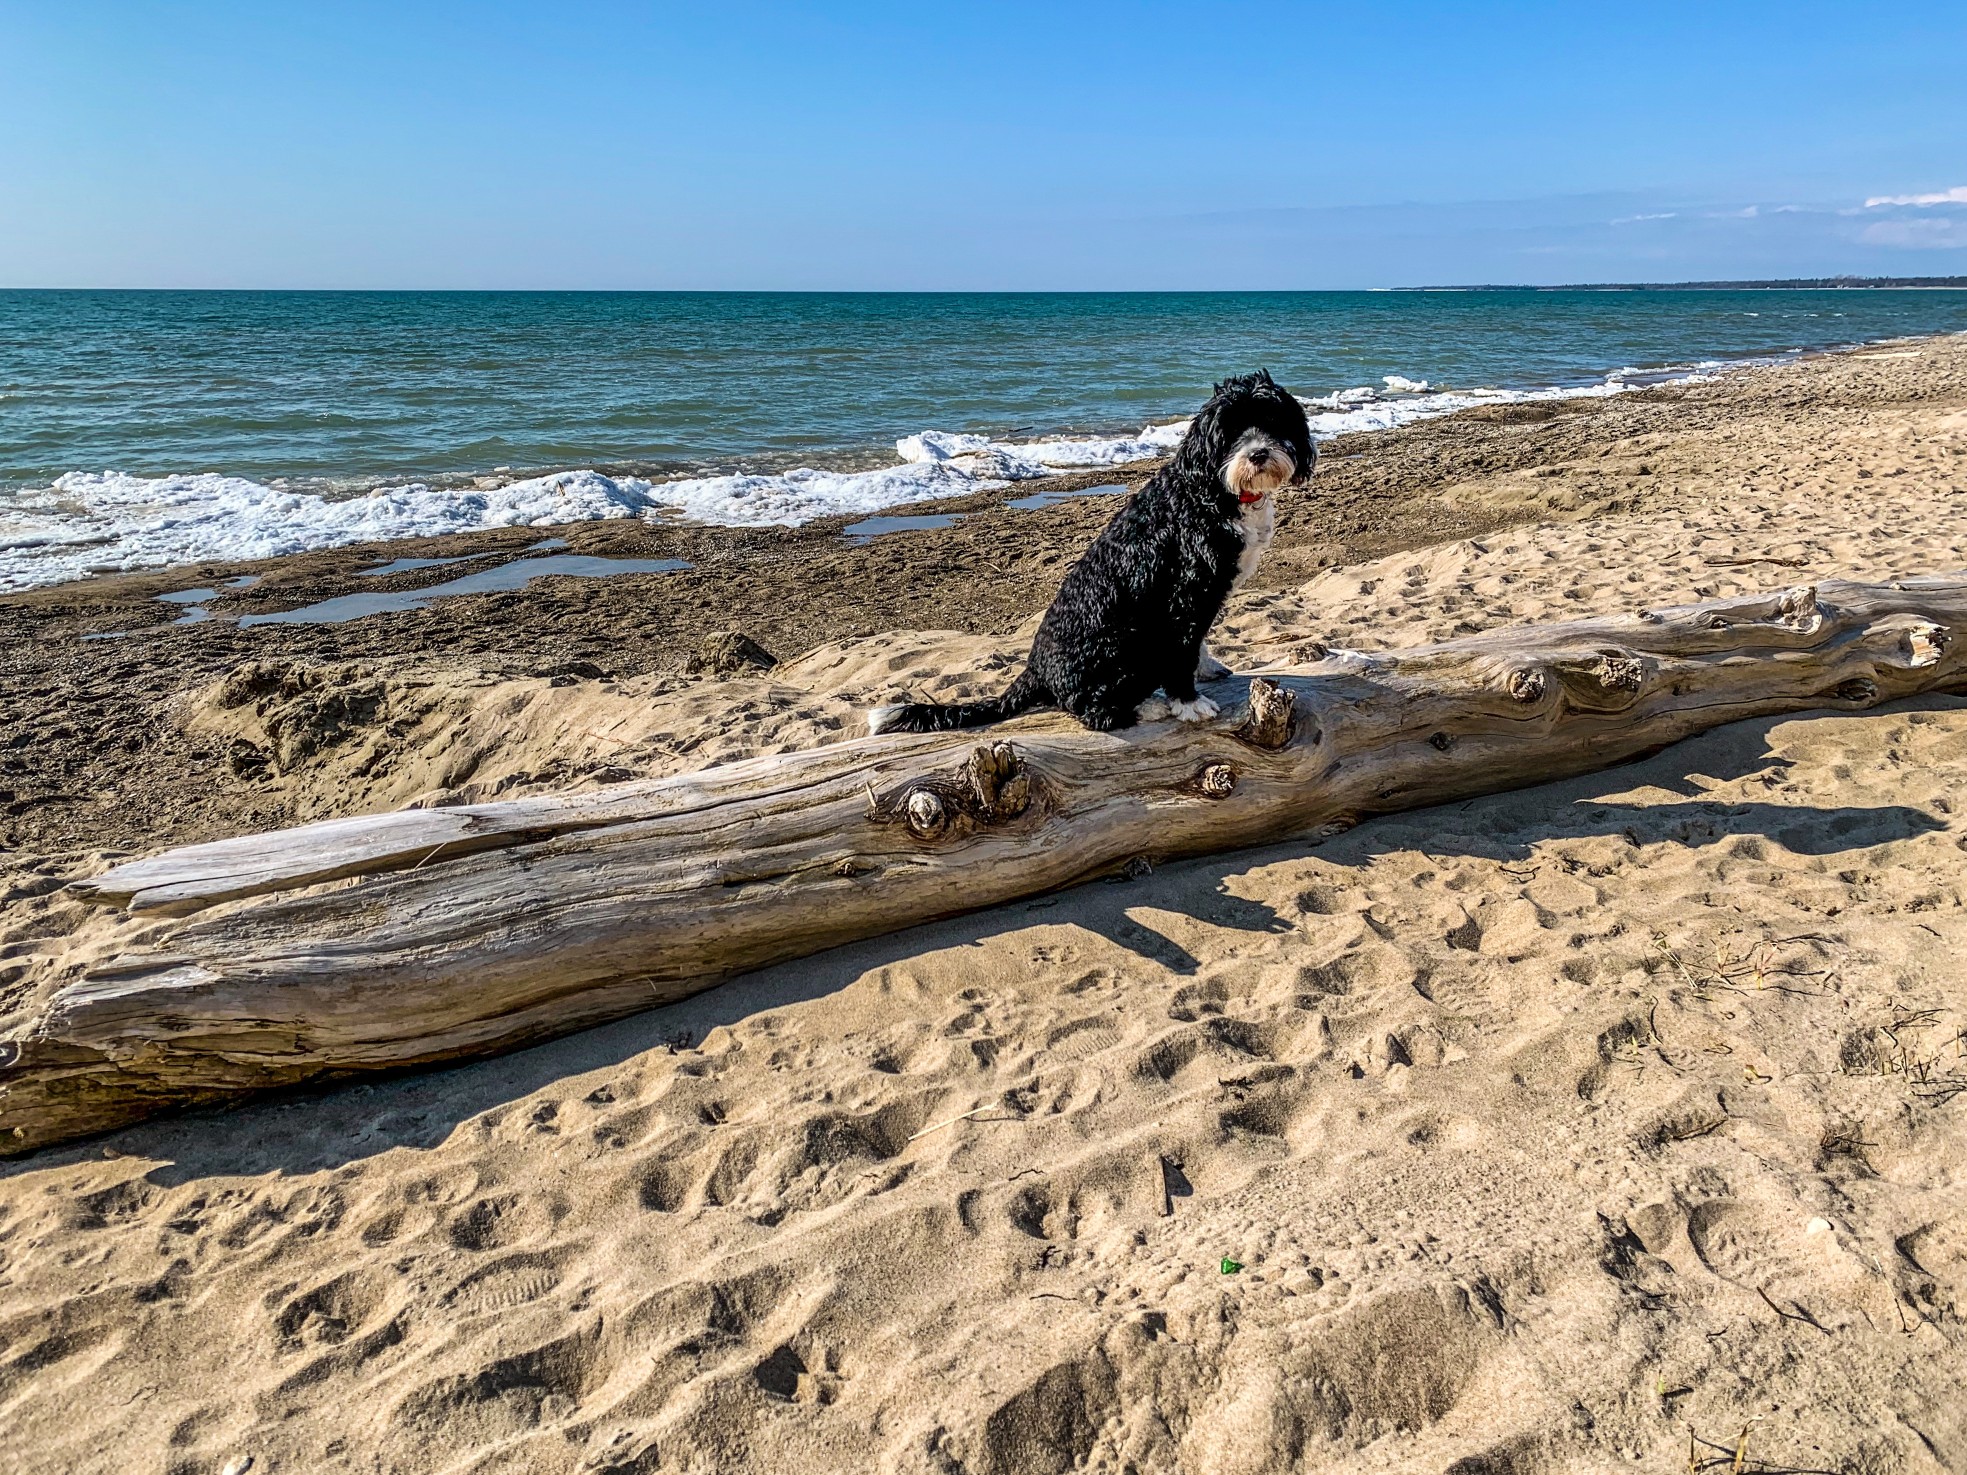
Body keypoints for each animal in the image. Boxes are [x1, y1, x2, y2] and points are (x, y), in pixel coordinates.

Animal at [869, 371, 1313, 735]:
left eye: (1272, 421)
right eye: (1230, 431)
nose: (1258, 454)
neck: (1213, 492)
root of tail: (1036, 669)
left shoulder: (1203, 595)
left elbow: (1197, 643)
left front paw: (1206, 669)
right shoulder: (1186, 593)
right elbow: (1182, 650)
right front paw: (1187, 701)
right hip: (1122, 644)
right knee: (1088, 710)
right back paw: (1142, 708)